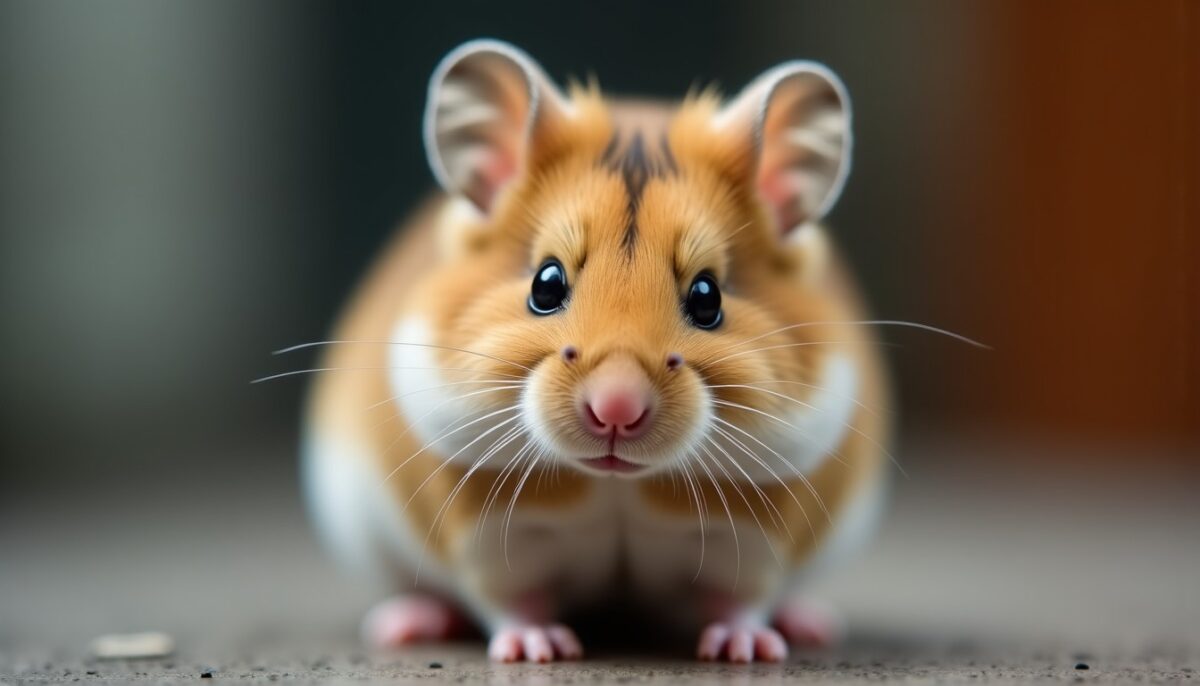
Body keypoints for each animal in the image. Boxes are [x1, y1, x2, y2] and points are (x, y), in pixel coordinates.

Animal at [301, 39, 891, 663]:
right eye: (545, 284)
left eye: (707, 297)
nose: (616, 409)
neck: (617, 485)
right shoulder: (494, 538)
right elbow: (511, 600)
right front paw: (538, 650)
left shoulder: (755, 541)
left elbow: (741, 599)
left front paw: (747, 650)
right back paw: (407, 623)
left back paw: (810, 624)